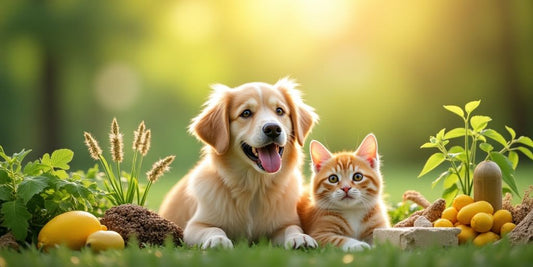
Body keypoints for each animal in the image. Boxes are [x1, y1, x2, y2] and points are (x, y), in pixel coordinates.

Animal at [158, 78, 316, 250]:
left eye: (279, 111)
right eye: (246, 113)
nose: (273, 129)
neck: (255, 186)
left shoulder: (285, 223)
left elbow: (292, 228)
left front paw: (300, 237)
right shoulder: (195, 226)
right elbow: (213, 229)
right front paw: (218, 240)